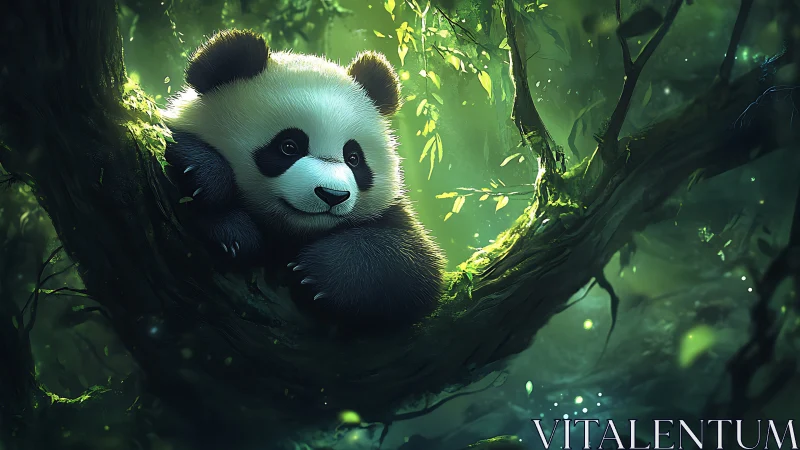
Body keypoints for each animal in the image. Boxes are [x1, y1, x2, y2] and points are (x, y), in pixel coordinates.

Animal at [161, 29, 446, 327]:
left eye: (353, 158)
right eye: (289, 146)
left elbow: (412, 265)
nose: (333, 195)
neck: (292, 230)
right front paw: (217, 199)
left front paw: (318, 273)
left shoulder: (392, 218)